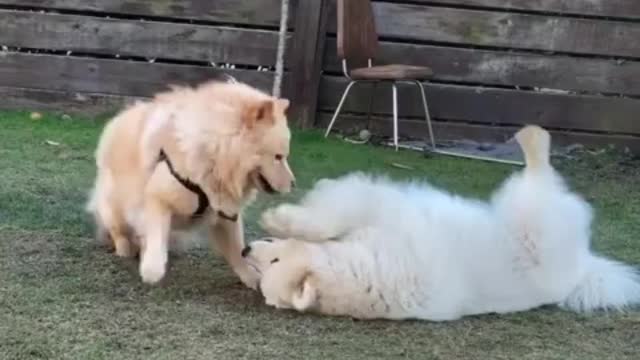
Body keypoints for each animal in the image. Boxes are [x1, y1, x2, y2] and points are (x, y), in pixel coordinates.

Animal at [86, 80, 294, 288]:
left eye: (284, 156)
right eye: (278, 157)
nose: (293, 183)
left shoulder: (226, 213)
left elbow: (238, 249)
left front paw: (251, 277)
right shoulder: (157, 198)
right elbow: (155, 235)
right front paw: (152, 269)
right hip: (116, 210)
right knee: (119, 232)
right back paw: (125, 249)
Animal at [245, 124, 640, 320]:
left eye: (275, 260)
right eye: (262, 275)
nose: (246, 249)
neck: (360, 271)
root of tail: (583, 267)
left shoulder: (378, 208)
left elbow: (328, 216)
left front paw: (281, 219)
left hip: (529, 215)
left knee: (541, 171)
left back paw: (531, 136)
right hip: (532, 214)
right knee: (542, 177)